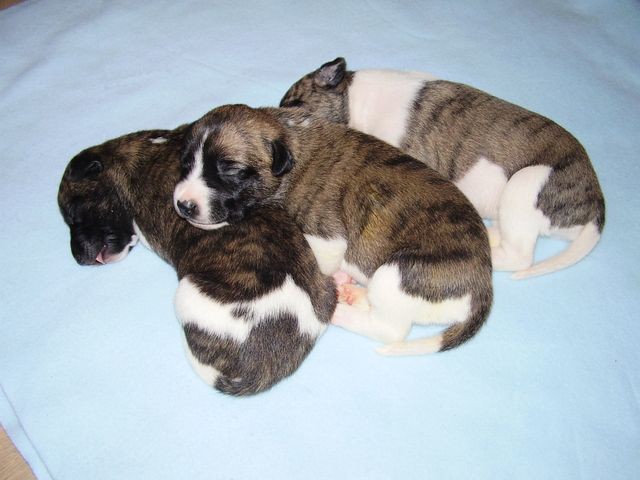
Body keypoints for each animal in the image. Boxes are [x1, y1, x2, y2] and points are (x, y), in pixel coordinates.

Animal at [172, 104, 492, 356]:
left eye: (231, 170)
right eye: (186, 162)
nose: (183, 205)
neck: (290, 143)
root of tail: (482, 290)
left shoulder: (328, 238)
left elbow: (317, 260)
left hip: (398, 274)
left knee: (388, 329)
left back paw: (342, 311)